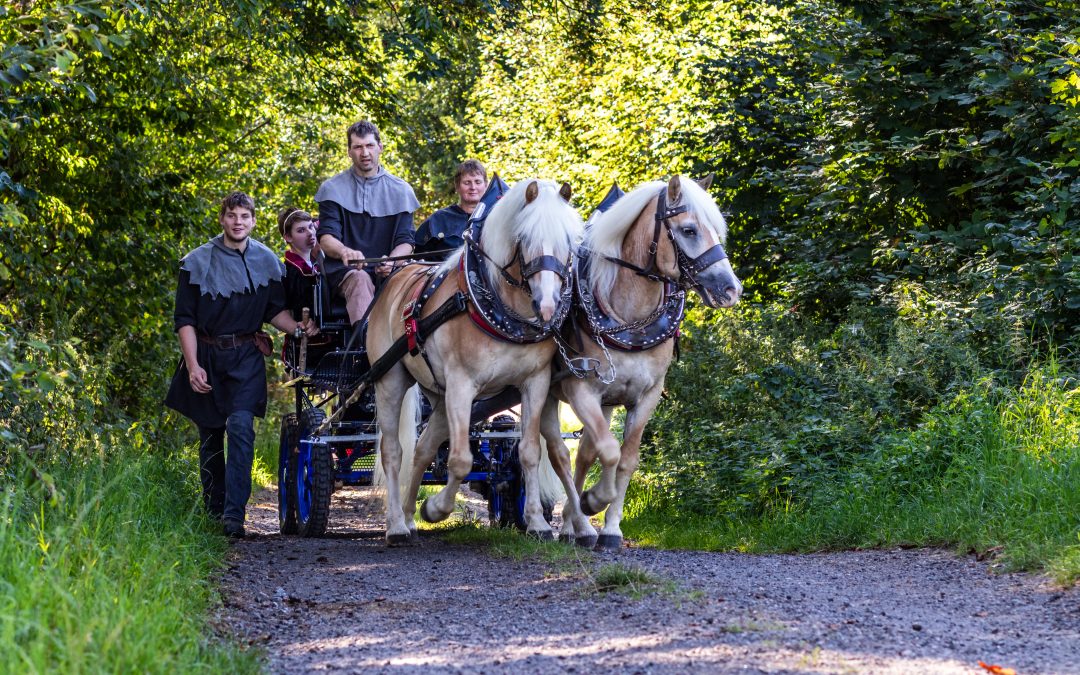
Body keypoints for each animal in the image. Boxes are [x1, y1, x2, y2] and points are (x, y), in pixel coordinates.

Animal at [369, 178, 591, 542]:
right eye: (524, 237)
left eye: (569, 241)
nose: (547, 306)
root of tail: (399, 275)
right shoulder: (462, 385)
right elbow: (461, 459)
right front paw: (436, 509)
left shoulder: (535, 382)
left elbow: (530, 452)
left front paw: (536, 522)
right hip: (390, 379)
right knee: (393, 451)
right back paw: (397, 525)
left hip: (438, 395)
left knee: (423, 449)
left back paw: (409, 515)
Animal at [540, 173, 743, 548]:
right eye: (689, 230)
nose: (731, 289)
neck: (629, 319)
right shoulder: (580, 391)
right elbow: (608, 451)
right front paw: (593, 501)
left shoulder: (646, 396)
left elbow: (626, 459)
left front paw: (610, 528)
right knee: (550, 453)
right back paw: (556, 522)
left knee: (583, 453)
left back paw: (575, 526)